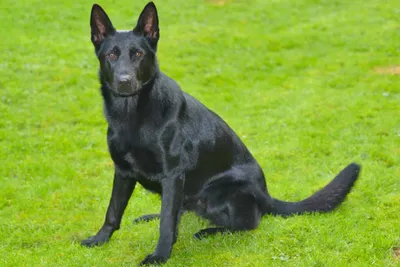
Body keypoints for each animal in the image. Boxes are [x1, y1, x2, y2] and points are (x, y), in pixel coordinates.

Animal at [80, 1, 360, 266]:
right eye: (112, 55)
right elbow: (113, 211)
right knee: (183, 211)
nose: (124, 81)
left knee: (248, 222)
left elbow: (167, 224)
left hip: (217, 192)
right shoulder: (123, 172)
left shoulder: (172, 175)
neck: (133, 115)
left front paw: (160, 256)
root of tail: (267, 196)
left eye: (138, 54)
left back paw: (209, 232)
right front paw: (100, 239)